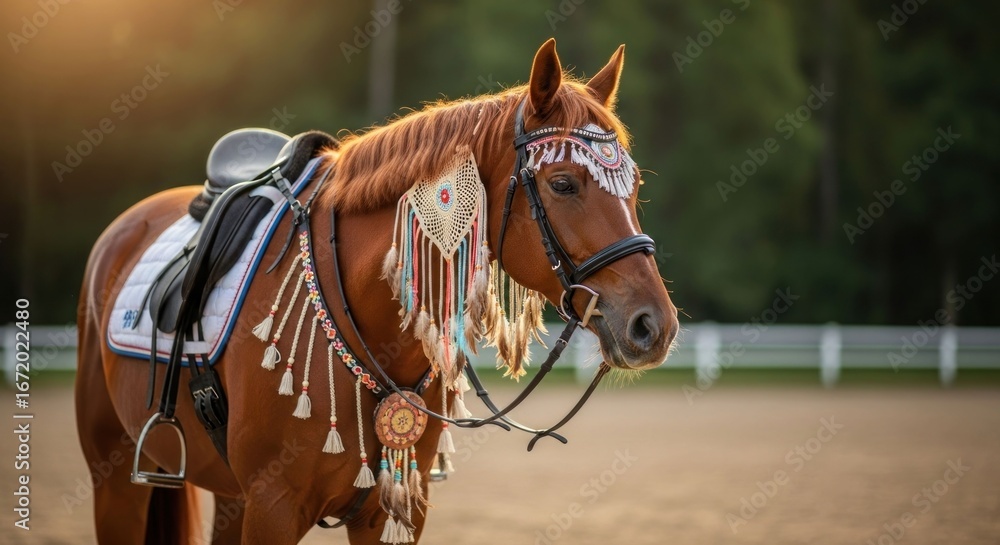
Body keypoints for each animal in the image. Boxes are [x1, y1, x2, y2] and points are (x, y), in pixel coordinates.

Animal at [75, 38, 678, 544]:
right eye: (563, 184)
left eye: (635, 186)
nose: (655, 326)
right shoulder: (273, 506)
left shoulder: (394, 510)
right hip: (116, 478)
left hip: (229, 498)